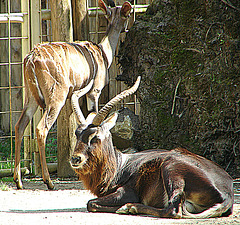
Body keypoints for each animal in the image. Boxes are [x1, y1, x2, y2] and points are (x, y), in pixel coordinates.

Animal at [13, 0, 132, 190]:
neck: (103, 52)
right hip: (56, 98)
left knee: (20, 125)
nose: (126, 29)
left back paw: (18, 180)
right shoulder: (94, 92)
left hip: (30, 97)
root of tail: (31, 58)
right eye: (127, 14)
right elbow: (93, 116)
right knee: (41, 128)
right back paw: (49, 181)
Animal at [70, 76, 233, 219]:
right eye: (77, 133)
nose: (75, 158)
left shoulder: (126, 192)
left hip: (170, 168)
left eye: (95, 135)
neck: (120, 166)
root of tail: (227, 193)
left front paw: (125, 206)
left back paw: (130, 207)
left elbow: (91, 204)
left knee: (173, 210)